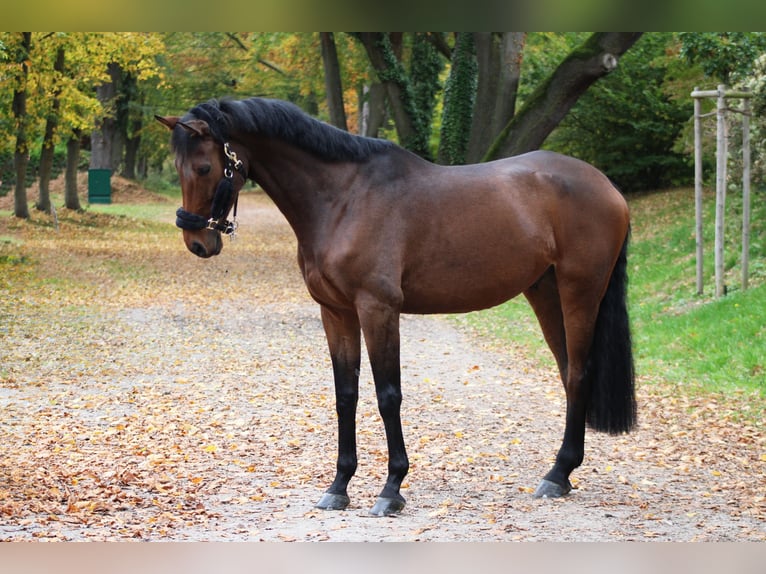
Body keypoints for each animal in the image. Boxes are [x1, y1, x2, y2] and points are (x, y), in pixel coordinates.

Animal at [156, 97, 636, 520]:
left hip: (580, 292)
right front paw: (339, 487)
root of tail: (607, 186)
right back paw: (561, 474)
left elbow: (389, 396)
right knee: (568, 373)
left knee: (578, 373)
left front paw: (391, 490)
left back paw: (558, 474)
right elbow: (346, 395)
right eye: (179, 168)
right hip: (544, 293)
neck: (344, 199)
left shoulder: (378, 309)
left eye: (204, 167)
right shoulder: (336, 313)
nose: (198, 242)